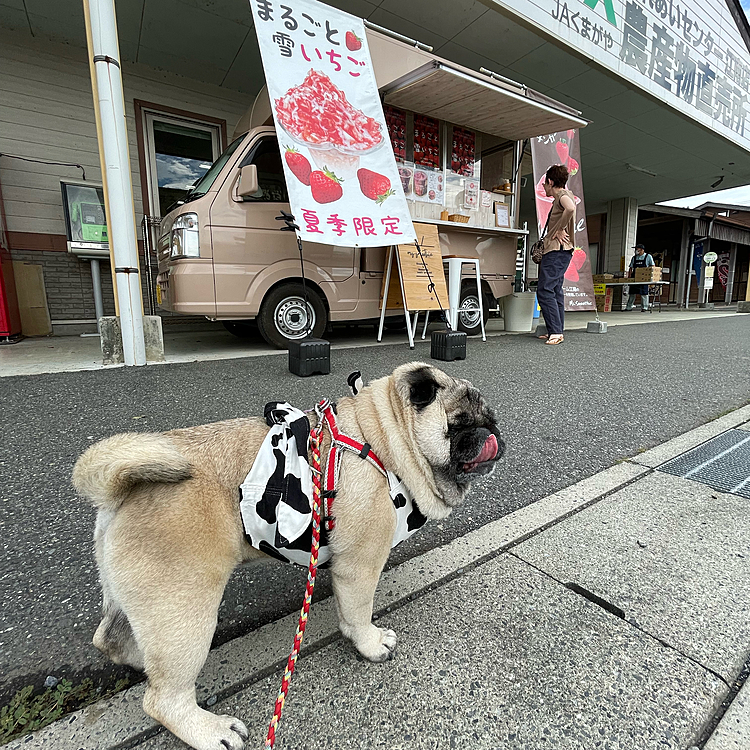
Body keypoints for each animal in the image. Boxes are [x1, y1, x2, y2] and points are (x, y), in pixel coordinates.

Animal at [72, 362, 506, 748]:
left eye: (490, 417)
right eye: (459, 423)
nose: (492, 431)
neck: (385, 440)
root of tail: (117, 491)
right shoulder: (359, 566)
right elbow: (357, 612)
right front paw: (369, 643)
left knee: (113, 638)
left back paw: (139, 662)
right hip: (184, 610)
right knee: (163, 698)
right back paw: (212, 731)